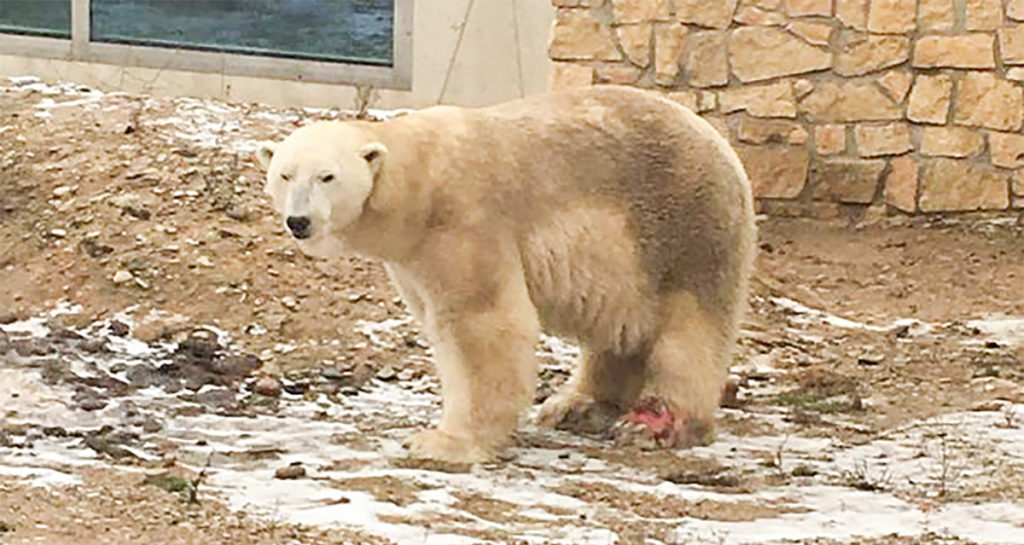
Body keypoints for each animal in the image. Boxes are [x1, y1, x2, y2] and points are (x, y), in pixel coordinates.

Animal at [256, 85, 753, 465]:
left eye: (327, 176)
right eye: (284, 175)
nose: (298, 221)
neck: (420, 183)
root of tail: (722, 145)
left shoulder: (463, 221)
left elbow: (481, 324)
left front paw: (443, 443)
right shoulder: (412, 260)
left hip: (682, 229)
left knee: (688, 330)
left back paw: (656, 422)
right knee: (619, 331)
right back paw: (576, 407)